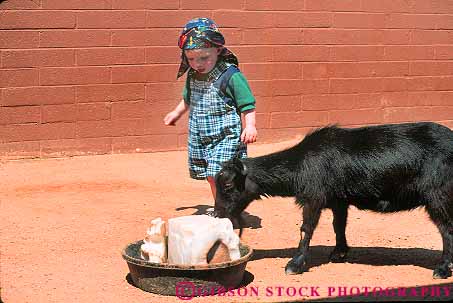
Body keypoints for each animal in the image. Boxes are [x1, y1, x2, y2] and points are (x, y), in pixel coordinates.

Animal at [215, 122, 452, 280]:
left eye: (227, 185)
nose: (217, 214)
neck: (301, 163)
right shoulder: (339, 199)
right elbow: (338, 225)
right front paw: (340, 252)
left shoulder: (314, 196)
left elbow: (306, 229)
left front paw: (295, 264)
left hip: (438, 195)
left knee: (446, 230)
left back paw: (442, 269)